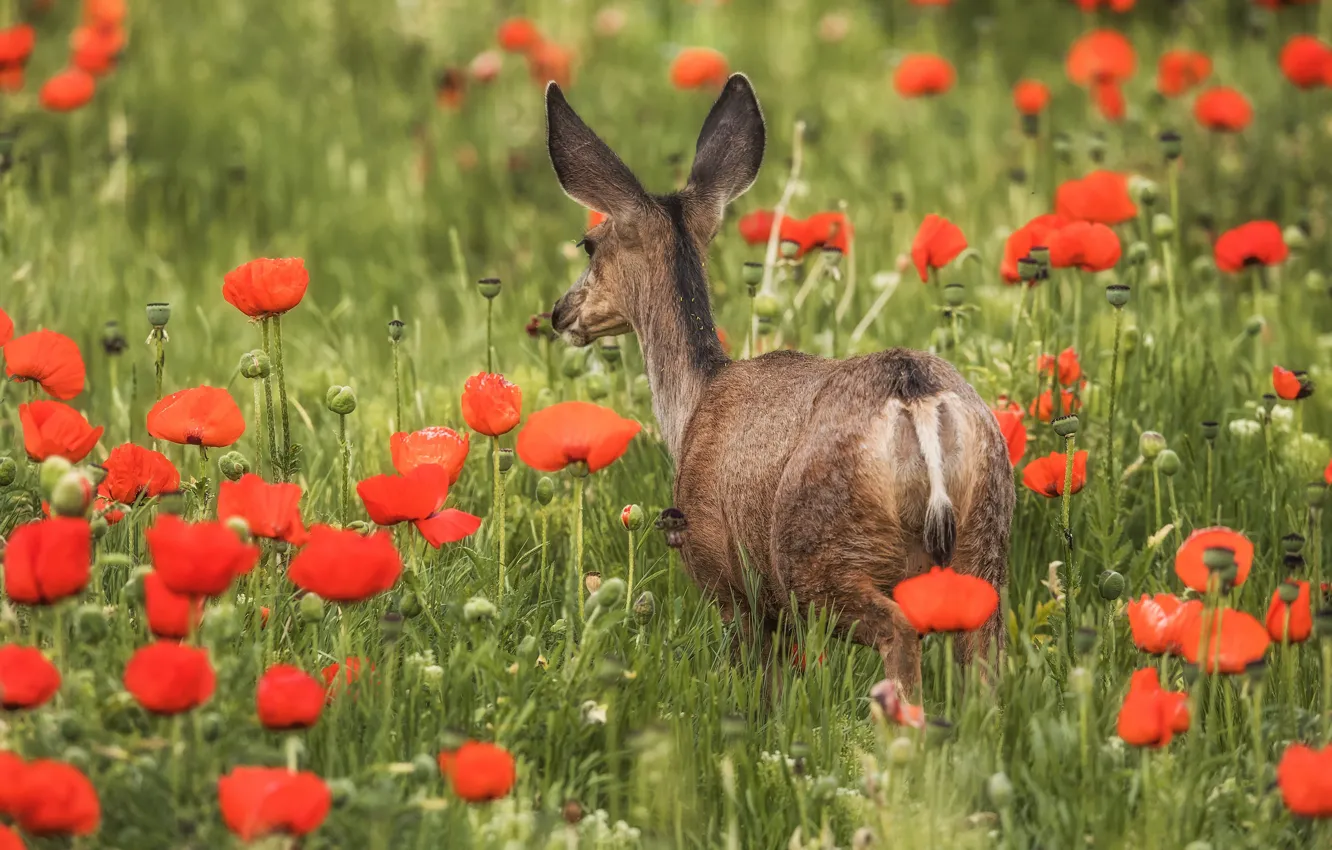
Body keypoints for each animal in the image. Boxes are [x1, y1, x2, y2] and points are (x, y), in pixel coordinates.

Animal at [543, 74, 1015, 696]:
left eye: (589, 244)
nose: (559, 312)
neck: (693, 406)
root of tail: (915, 400)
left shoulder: (729, 578)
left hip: (818, 552)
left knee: (899, 634)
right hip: (987, 537)